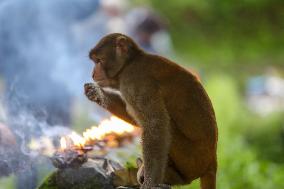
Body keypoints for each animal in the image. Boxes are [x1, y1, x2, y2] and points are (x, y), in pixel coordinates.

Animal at [84, 33, 217, 188]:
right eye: (95, 61)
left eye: (99, 60)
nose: (93, 73)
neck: (129, 64)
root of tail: (212, 162)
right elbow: (135, 118)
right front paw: (98, 94)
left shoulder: (136, 81)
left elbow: (155, 125)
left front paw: (150, 183)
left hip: (192, 161)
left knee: (167, 126)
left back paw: (171, 177)